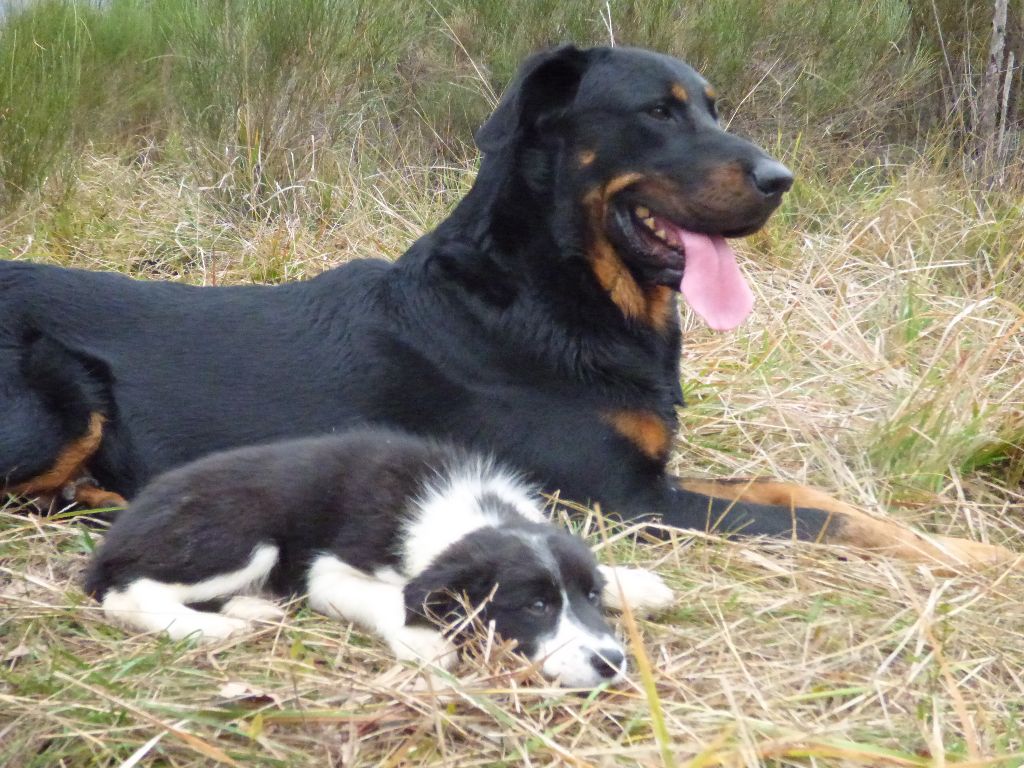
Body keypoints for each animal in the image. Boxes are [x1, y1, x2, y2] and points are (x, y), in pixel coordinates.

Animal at [0, 45, 1011, 569]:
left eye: (713, 107)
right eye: (660, 111)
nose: (780, 180)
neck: (551, 291)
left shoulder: (653, 477)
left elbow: (798, 489)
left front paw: (963, 547)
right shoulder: (622, 502)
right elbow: (819, 519)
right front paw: (975, 559)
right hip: (60, 391)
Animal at [86, 430, 671, 688]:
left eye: (590, 596)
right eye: (534, 607)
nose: (612, 662)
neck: (472, 511)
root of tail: (121, 527)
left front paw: (636, 583)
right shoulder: (328, 571)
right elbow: (392, 597)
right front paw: (426, 641)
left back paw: (253, 611)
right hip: (241, 534)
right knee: (126, 593)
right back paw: (210, 629)